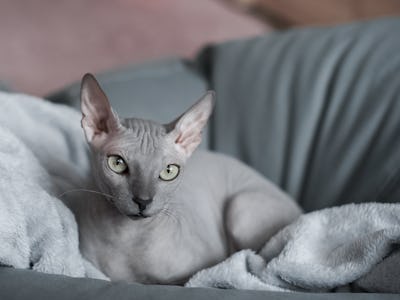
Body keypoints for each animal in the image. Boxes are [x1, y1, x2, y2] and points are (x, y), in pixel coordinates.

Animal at [67, 74, 302, 284]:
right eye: (117, 163)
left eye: (169, 171)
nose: (143, 201)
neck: (127, 239)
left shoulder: (194, 271)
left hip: (241, 207)